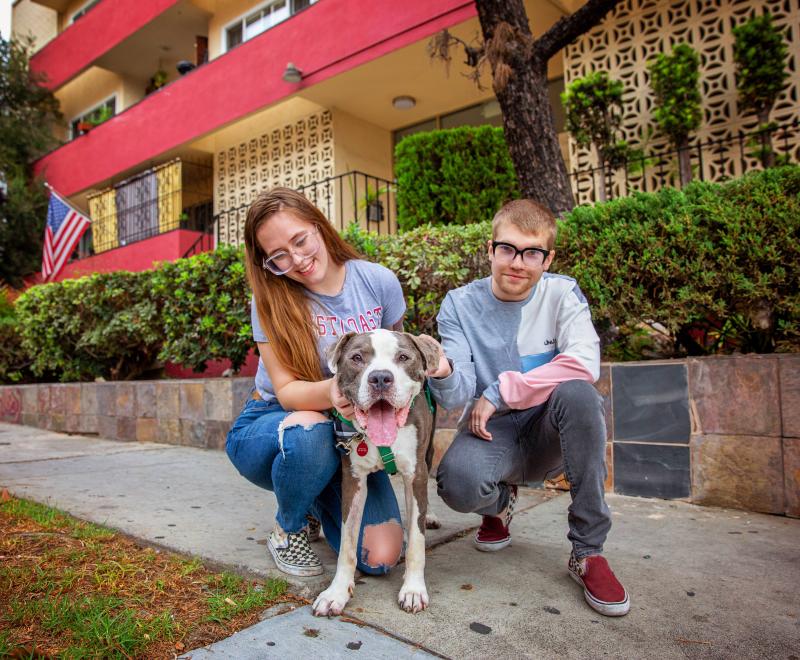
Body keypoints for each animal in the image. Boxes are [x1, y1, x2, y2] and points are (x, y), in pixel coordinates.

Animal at [310, 330, 438, 620]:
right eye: (357, 358)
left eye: (403, 357)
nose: (380, 378)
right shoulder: (352, 479)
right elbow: (347, 542)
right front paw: (336, 593)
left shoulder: (415, 474)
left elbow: (417, 540)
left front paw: (413, 590)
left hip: (429, 452)